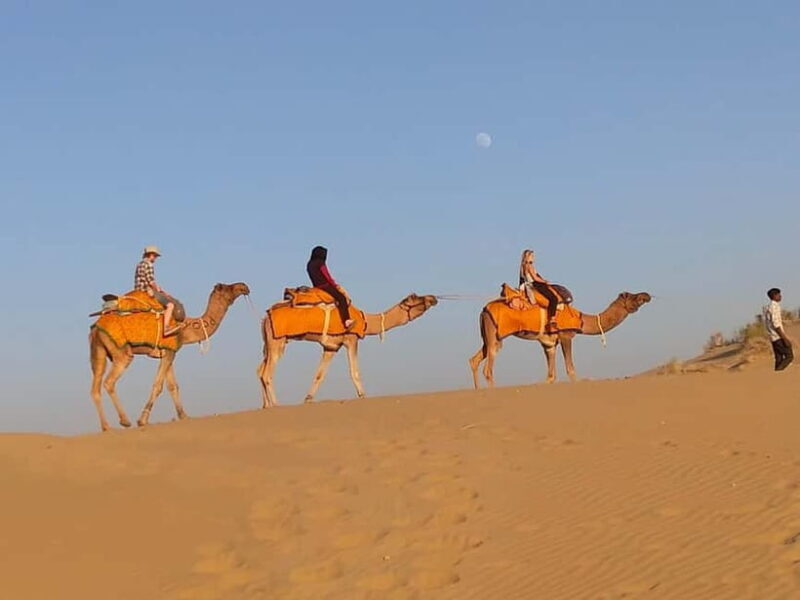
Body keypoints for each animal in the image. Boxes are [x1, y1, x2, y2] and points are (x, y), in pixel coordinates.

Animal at [89, 282, 250, 431]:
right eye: (226, 287)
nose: (243, 286)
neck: (185, 329)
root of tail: (96, 328)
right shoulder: (169, 351)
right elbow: (158, 385)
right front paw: (142, 420)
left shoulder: (168, 352)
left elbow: (172, 386)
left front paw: (184, 416)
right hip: (121, 352)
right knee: (109, 382)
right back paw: (125, 421)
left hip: (99, 351)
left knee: (95, 388)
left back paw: (106, 427)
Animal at [257, 293, 438, 407]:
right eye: (414, 297)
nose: (433, 298)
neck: (365, 321)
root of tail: (265, 317)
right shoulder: (351, 340)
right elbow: (354, 371)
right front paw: (363, 396)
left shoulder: (331, 347)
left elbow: (319, 374)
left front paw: (307, 399)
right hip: (277, 342)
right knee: (267, 373)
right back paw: (277, 404)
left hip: (269, 343)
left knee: (260, 370)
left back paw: (266, 405)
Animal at [469, 292, 652, 388]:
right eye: (632, 296)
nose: (646, 295)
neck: (582, 320)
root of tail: (483, 310)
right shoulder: (566, 336)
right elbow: (570, 369)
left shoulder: (548, 344)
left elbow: (551, 376)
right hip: (494, 333)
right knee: (488, 366)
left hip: (488, 335)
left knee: (474, 359)